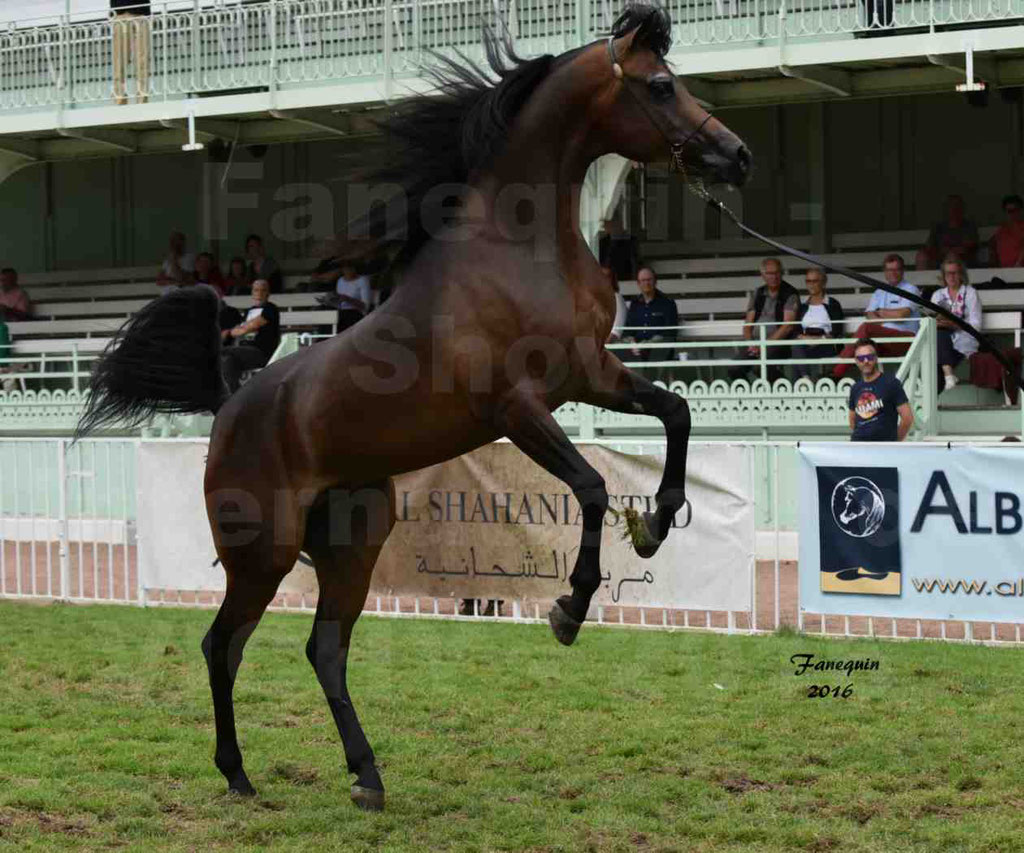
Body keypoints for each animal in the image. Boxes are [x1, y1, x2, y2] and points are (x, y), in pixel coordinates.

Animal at [77, 3, 745, 806]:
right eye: (660, 85)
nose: (735, 155)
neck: (517, 249)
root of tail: (230, 403)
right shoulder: (517, 408)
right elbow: (588, 485)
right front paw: (569, 609)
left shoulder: (591, 376)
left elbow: (676, 412)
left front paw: (653, 525)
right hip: (263, 552)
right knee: (223, 644)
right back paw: (238, 773)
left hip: (354, 537)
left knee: (324, 648)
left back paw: (365, 775)